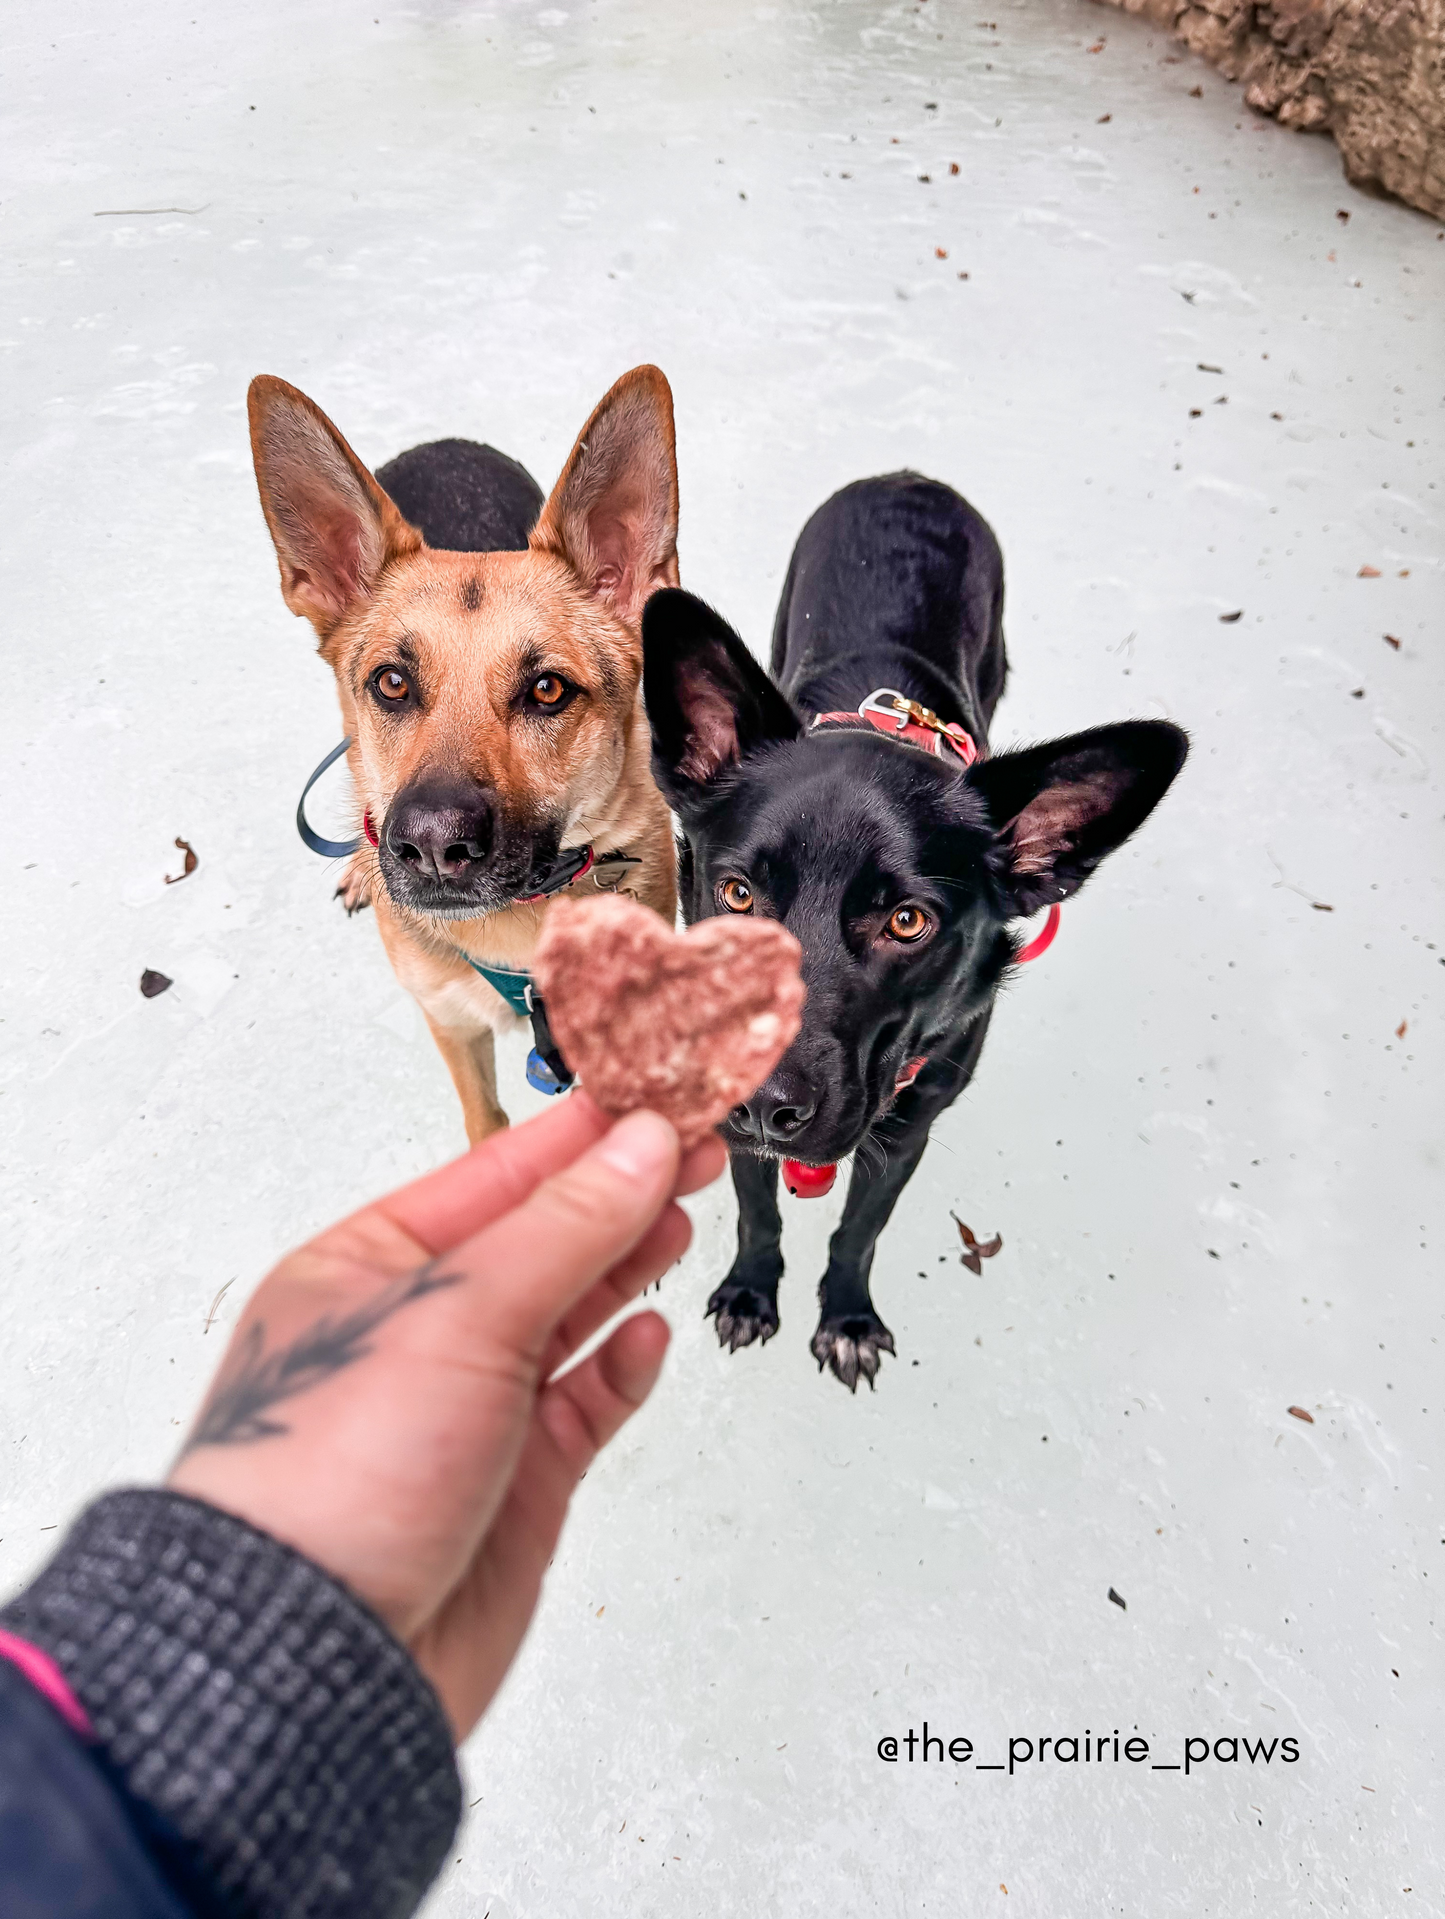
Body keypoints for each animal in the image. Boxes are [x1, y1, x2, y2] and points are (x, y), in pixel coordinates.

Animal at [245, 370, 679, 1136]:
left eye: (546, 689)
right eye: (392, 682)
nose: (431, 846)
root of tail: (443, 443)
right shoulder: (449, 1023)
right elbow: (485, 1123)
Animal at [640, 472, 1182, 1389]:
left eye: (907, 922)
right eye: (737, 892)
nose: (763, 1100)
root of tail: (907, 478)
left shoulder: (906, 1131)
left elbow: (858, 1230)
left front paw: (845, 1316)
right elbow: (758, 1213)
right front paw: (752, 1289)